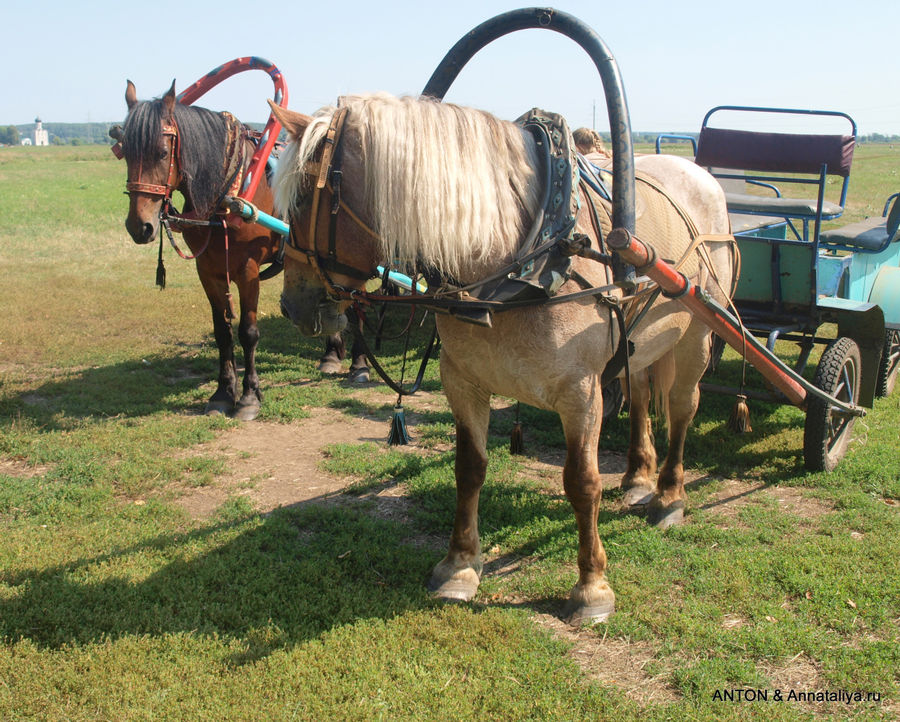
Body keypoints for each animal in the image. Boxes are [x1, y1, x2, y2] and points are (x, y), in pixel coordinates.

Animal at [114, 81, 368, 420]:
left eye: (162, 153)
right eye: (125, 152)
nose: (139, 226)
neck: (226, 194)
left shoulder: (248, 271)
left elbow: (248, 332)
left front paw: (248, 396)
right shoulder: (209, 271)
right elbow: (222, 331)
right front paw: (223, 393)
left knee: (357, 308)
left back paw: (360, 364)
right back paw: (331, 353)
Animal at [270, 91, 736, 620]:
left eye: (301, 200)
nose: (290, 304)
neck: (518, 260)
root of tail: (699, 173)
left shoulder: (581, 394)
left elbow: (582, 482)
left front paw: (592, 585)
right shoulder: (462, 380)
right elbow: (469, 469)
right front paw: (459, 566)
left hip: (697, 330)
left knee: (682, 407)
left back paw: (670, 496)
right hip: (640, 344)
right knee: (639, 395)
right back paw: (639, 477)